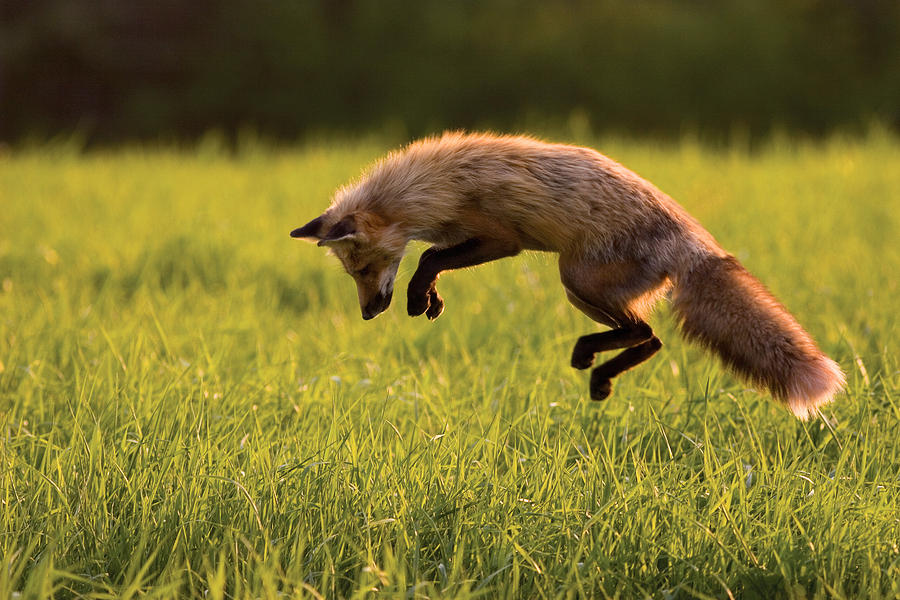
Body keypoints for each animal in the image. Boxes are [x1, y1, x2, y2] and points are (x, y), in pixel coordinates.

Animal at [290, 132, 844, 419]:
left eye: (363, 269)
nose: (369, 313)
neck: (430, 187)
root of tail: (696, 242)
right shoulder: (471, 238)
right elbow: (430, 258)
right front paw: (430, 300)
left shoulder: (500, 238)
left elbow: (427, 258)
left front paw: (418, 296)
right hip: (582, 290)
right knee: (652, 338)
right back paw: (599, 373)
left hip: (575, 277)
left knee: (647, 333)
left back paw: (592, 363)